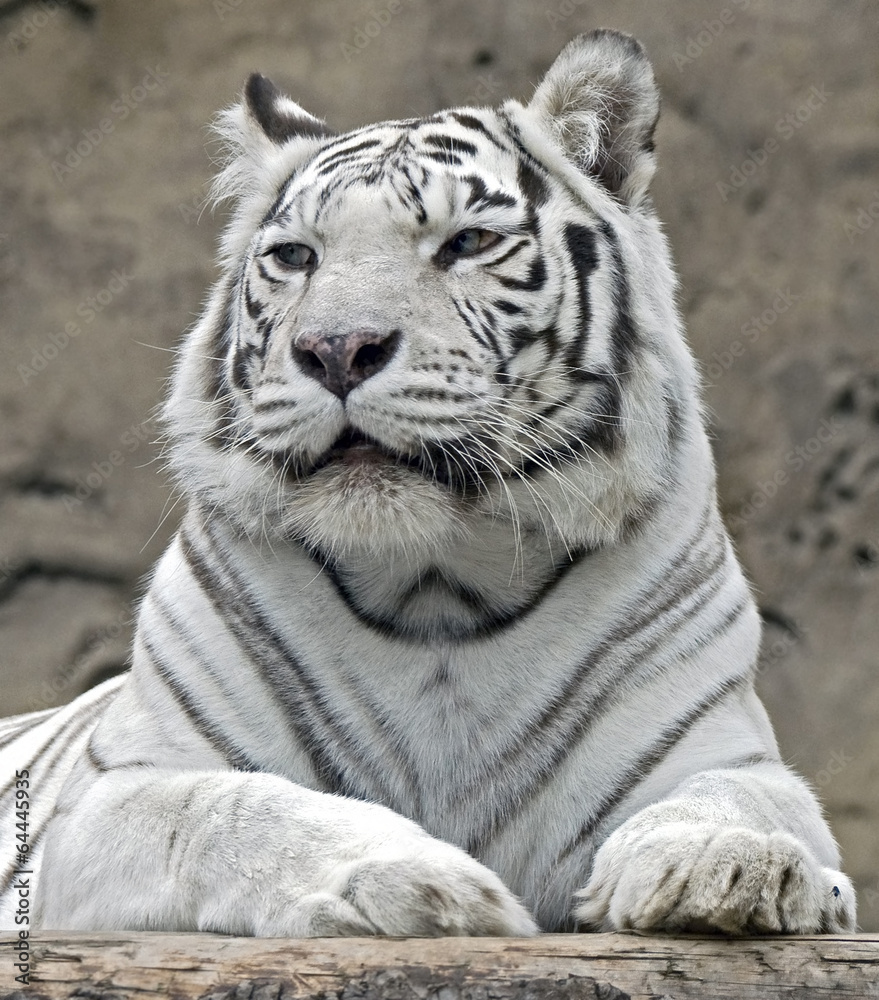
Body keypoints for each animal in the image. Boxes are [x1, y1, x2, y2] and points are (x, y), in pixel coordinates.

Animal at [0, 29, 855, 937]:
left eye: (468, 243)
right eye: (296, 257)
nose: (337, 349)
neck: (436, 586)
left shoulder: (724, 747)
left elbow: (739, 796)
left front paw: (730, 866)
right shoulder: (112, 798)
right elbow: (233, 809)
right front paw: (421, 886)